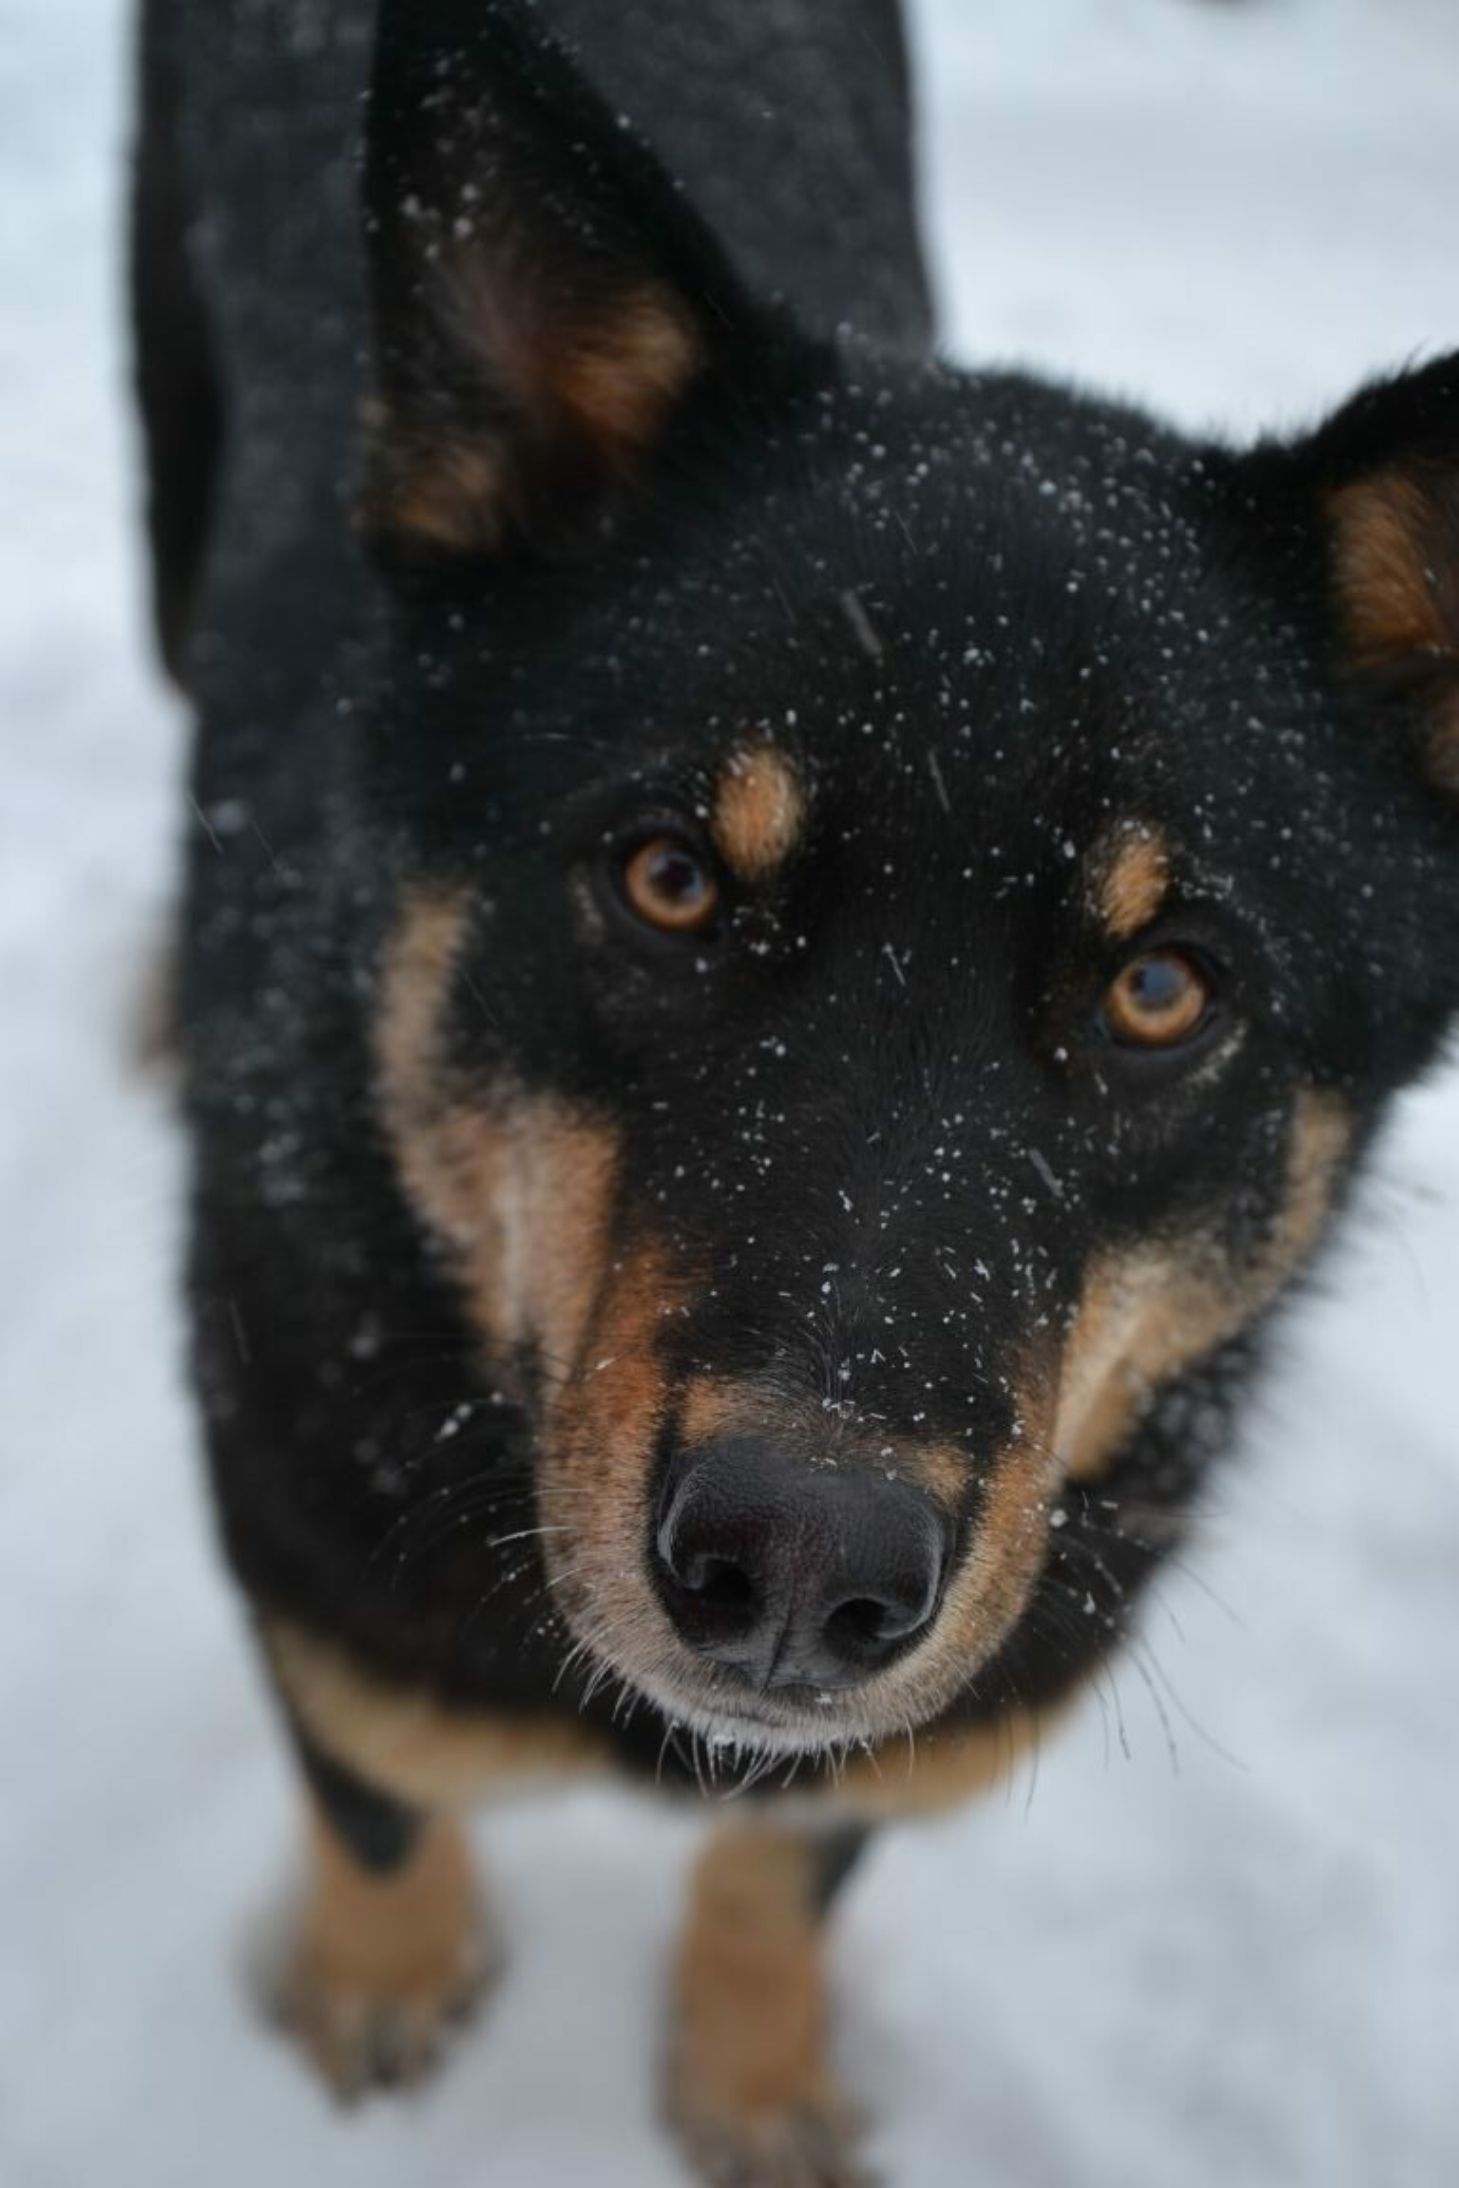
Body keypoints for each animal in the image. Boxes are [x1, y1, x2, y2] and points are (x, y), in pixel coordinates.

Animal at [131, 0, 1459, 2179]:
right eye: (669, 877)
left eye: (1160, 988)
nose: (802, 1567)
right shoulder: (311, 1589)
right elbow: (380, 1803)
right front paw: (380, 1990)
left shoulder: (908, 1726)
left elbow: (781, 1871)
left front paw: (751, 2085)